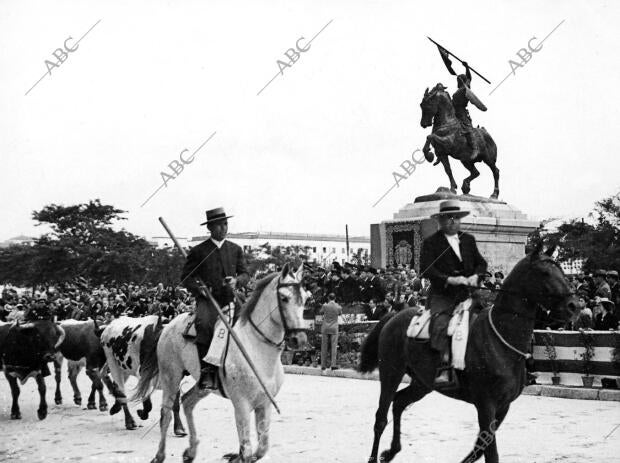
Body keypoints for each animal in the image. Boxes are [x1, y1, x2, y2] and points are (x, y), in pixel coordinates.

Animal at [136, 264, 310, 463]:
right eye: (284, 298)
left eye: (305, 298)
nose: (299, 339)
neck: (257, 348)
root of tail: (168, 325)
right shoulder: (242, 405)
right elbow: (247, 448)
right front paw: (239, 455)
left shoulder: (264, 404)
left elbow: (261, 448)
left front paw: (235, 456)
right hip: (170, 377)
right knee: (166, 413)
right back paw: (159, 455)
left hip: (202, 385)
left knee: (187, 402)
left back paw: (191, 451)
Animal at [358, 245, 576, 462]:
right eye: (544, 272)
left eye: (561, 270)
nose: (574, 306)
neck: (499, 340)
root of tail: (394, 315)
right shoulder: (486, 405)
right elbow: (489, 450)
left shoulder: (503, 407)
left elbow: (480, 447)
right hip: (391, 373)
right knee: (381, 417)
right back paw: (375, 456)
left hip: (422, 382)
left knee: (399, 402)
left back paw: (391, 451)